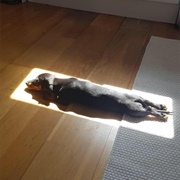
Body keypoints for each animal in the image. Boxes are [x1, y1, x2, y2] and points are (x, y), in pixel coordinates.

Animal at [25, 72, 172, 120]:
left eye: (36, 81)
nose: (26, 82)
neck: (59, 83)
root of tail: (136, 100)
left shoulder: (63, 99)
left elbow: (54, 97)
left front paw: (45, 95)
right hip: (139, 98)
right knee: (149, 102)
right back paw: (162, 106)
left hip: (134, 110)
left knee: (149, 110)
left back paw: (161, 115)